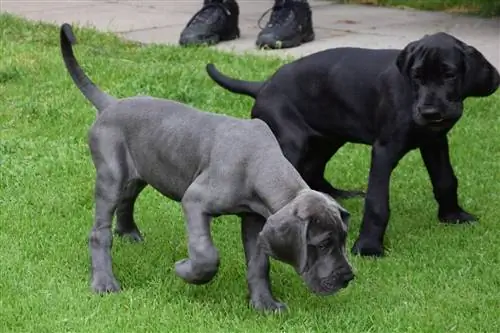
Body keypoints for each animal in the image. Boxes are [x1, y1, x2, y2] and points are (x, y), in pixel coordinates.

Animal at [60, 23, 354, 312]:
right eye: (322, 244)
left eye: (344, 238)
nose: (348, 278)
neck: (260, 164)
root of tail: (111, 104)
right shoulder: (195, 201)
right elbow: (206, 254)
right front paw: (184, 270)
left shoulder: (255, 218)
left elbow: (259, 263)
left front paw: (264, 304)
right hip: (111, 174)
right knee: (99, 232)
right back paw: (104, 282)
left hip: (141, 169)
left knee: (127, 198)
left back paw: (128, 233)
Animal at [205, 32, 498, 255]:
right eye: (417, 76)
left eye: (449, 75)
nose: (430, 113)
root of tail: (263, 86)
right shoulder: (384, 150)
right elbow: (377, 202)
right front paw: (368, 247)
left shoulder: (435, 141)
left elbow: (446, 180)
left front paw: (454, 216)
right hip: (291, 141)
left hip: (329, 137)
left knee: (312, 170)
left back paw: (335, 196)